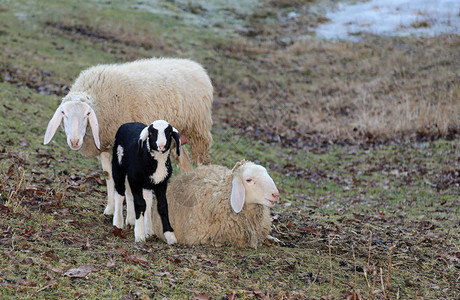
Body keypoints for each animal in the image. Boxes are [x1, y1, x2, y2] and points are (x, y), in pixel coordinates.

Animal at [43, 56, 214, 216]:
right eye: (64, 114)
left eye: (87, 115)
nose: (74, 141)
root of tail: (195, 66)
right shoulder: (105, 146)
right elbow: (109, 176)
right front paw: (110, 209)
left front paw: (131, 216)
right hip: (175, 139)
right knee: (186, 164)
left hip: (198, 130)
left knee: (202, 162)